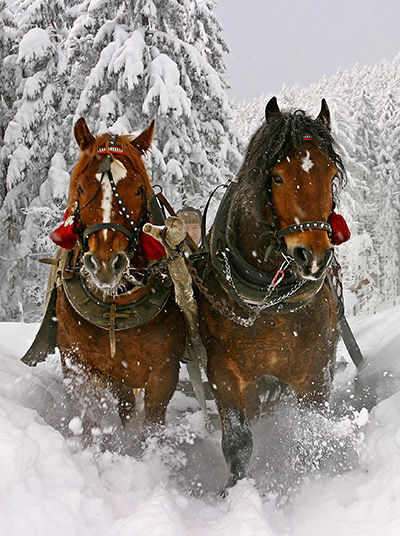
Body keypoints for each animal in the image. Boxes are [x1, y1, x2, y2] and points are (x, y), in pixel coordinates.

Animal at [53, 119, 186, 434]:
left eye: (138, 190)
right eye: (81, 186)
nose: (104, 263)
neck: (116, 306)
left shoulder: (164, 370)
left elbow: (152, 424)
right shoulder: (81, 363)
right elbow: (93, 416)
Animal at [198, 97, 346, 490]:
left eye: (331, 175)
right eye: (277, 176)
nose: (313, 256)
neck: (268, 303)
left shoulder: (315, 371)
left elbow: (311, 431)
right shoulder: (224, 373)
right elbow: (238, 442)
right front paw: (234, 491)